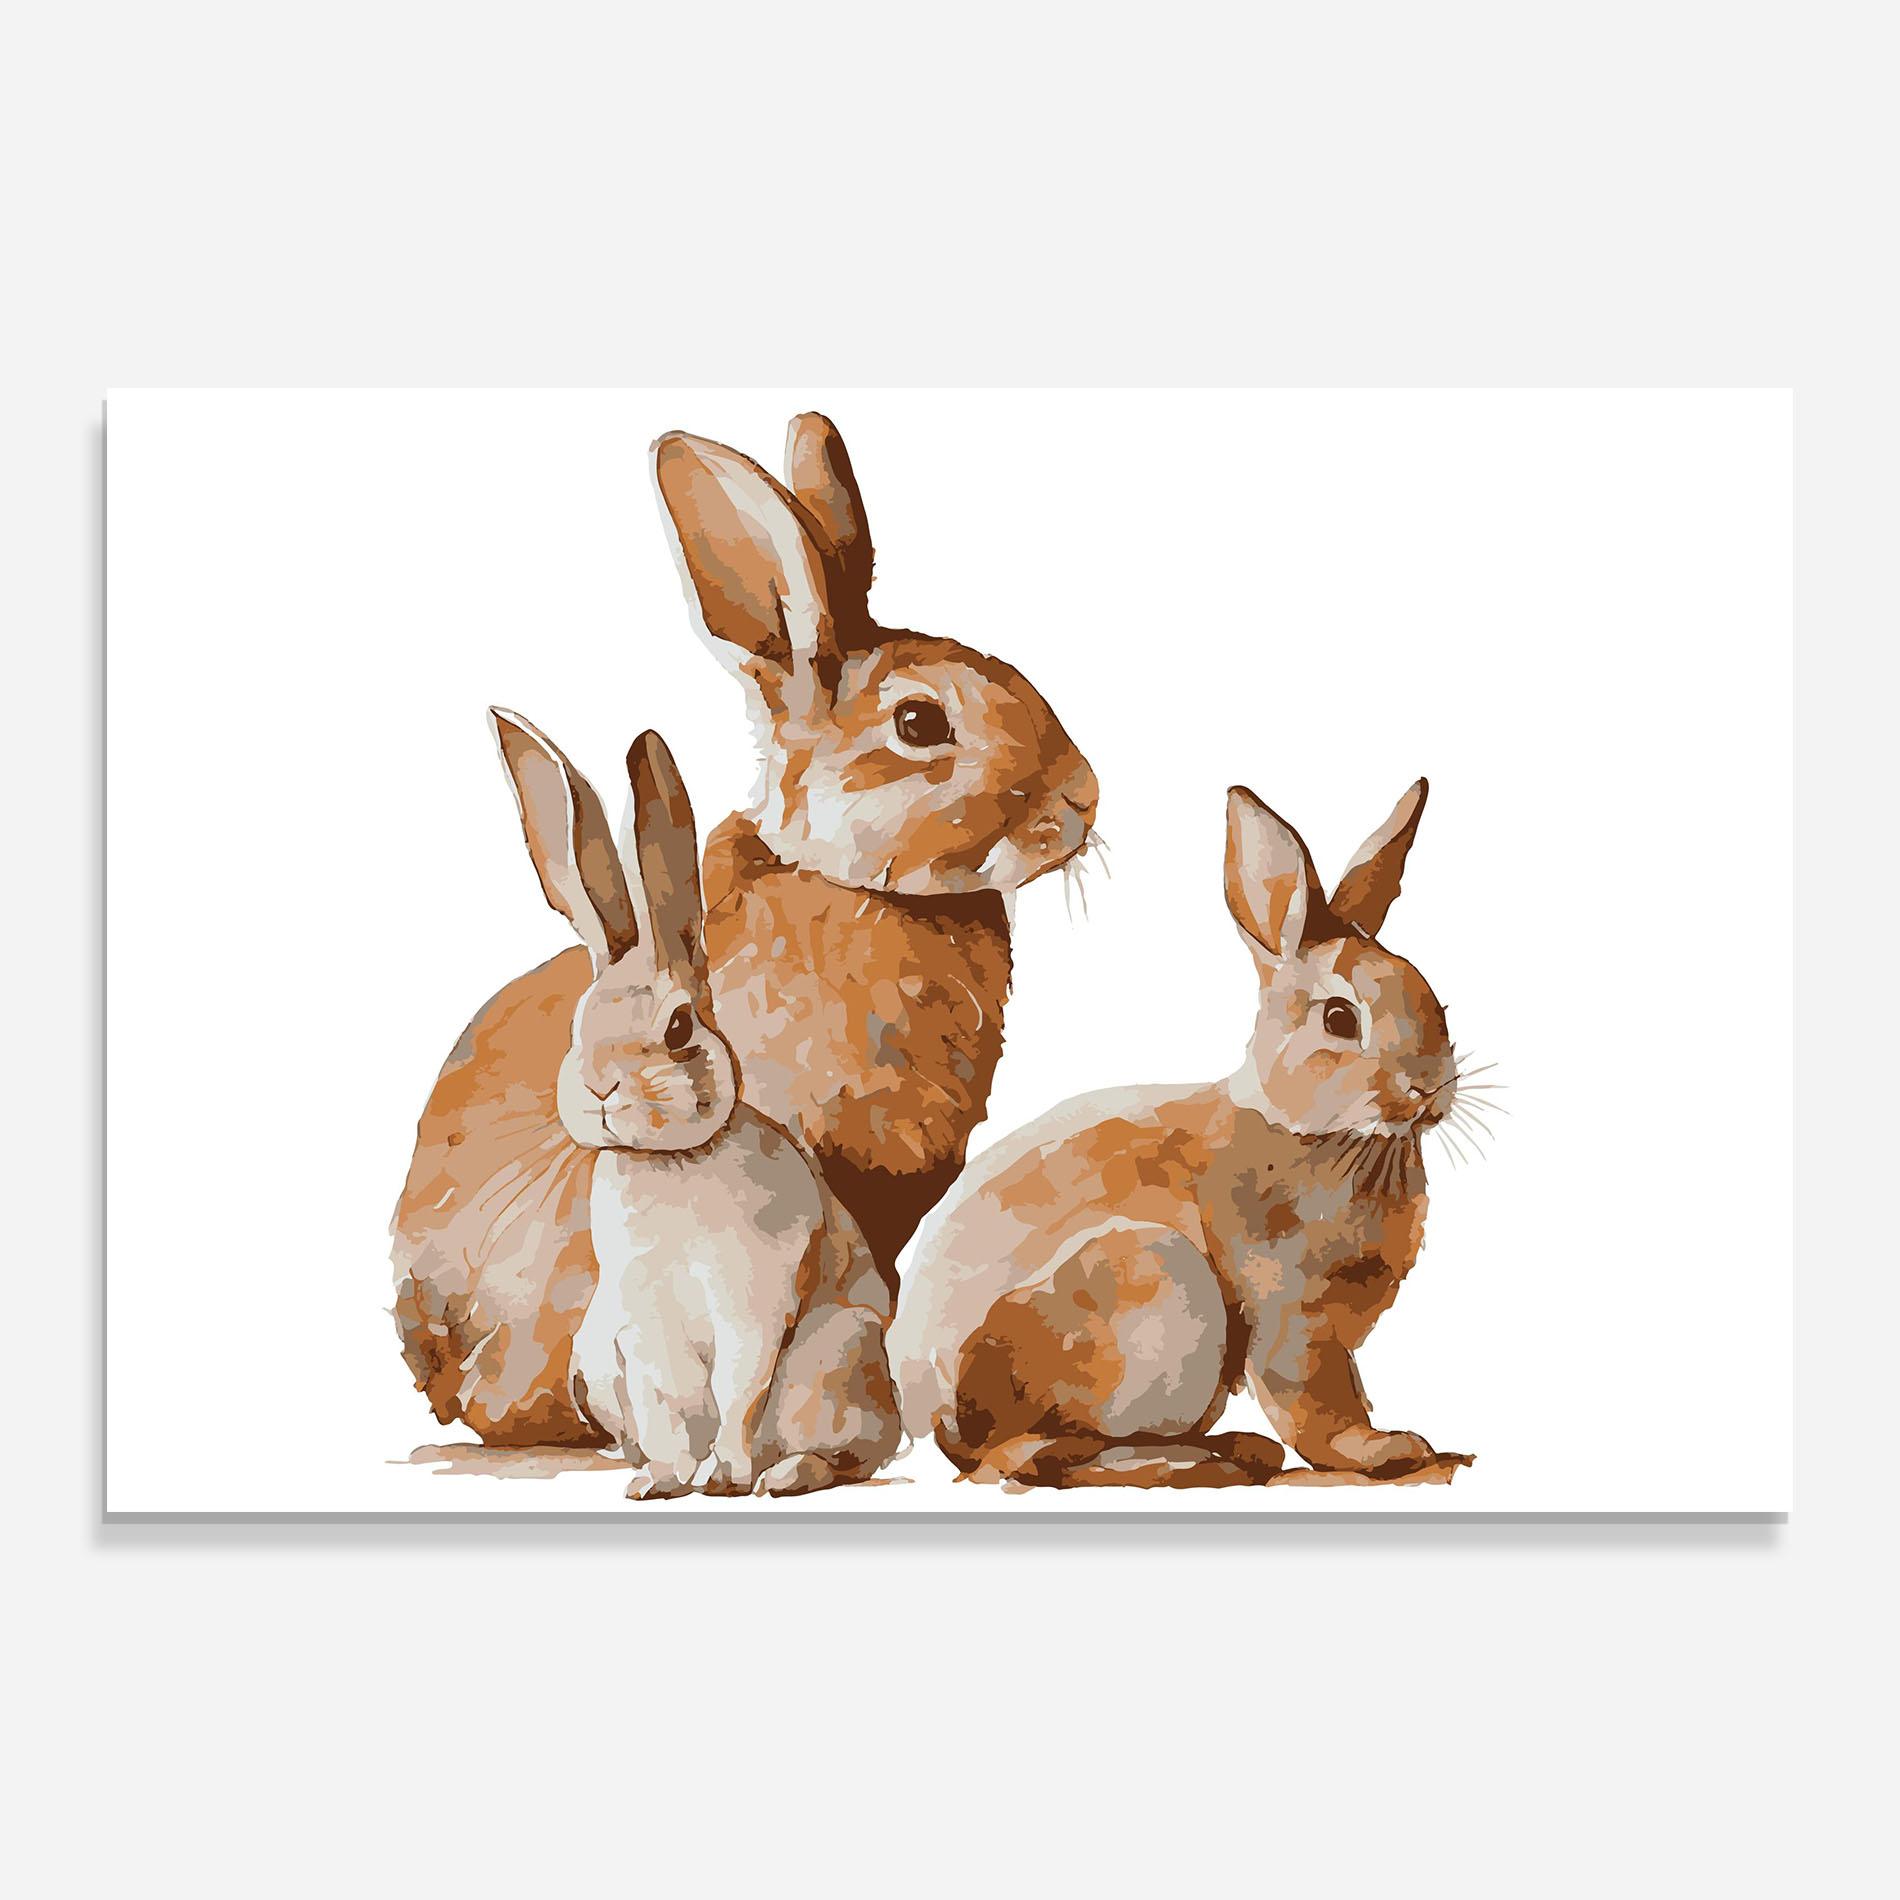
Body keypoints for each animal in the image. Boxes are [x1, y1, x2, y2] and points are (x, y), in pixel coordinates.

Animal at [394, 710, 900, 1497]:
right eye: (580, 1025)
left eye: (680, 1027)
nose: (603, 1089)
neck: (673, 1162)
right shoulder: (641, 1327)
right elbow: (664, 1405)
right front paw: (662, 1483)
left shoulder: (752, 1310)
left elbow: (739, 1392)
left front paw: (724, 1476)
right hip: (597, 1359)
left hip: (835, 1361)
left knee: (850, 1454)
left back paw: (781, 1475)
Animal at [888, 778, 1478, 1490]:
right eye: (1340, 1018)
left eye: (1434, 997)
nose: (1429, 1089)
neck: (1327, 1135)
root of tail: (929, 1411)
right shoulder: (1292, 1317)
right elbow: (1316, 1407)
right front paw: (1384, 1450)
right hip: (1151, 1282)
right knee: (1027, 1455)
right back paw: (1193, 1460)